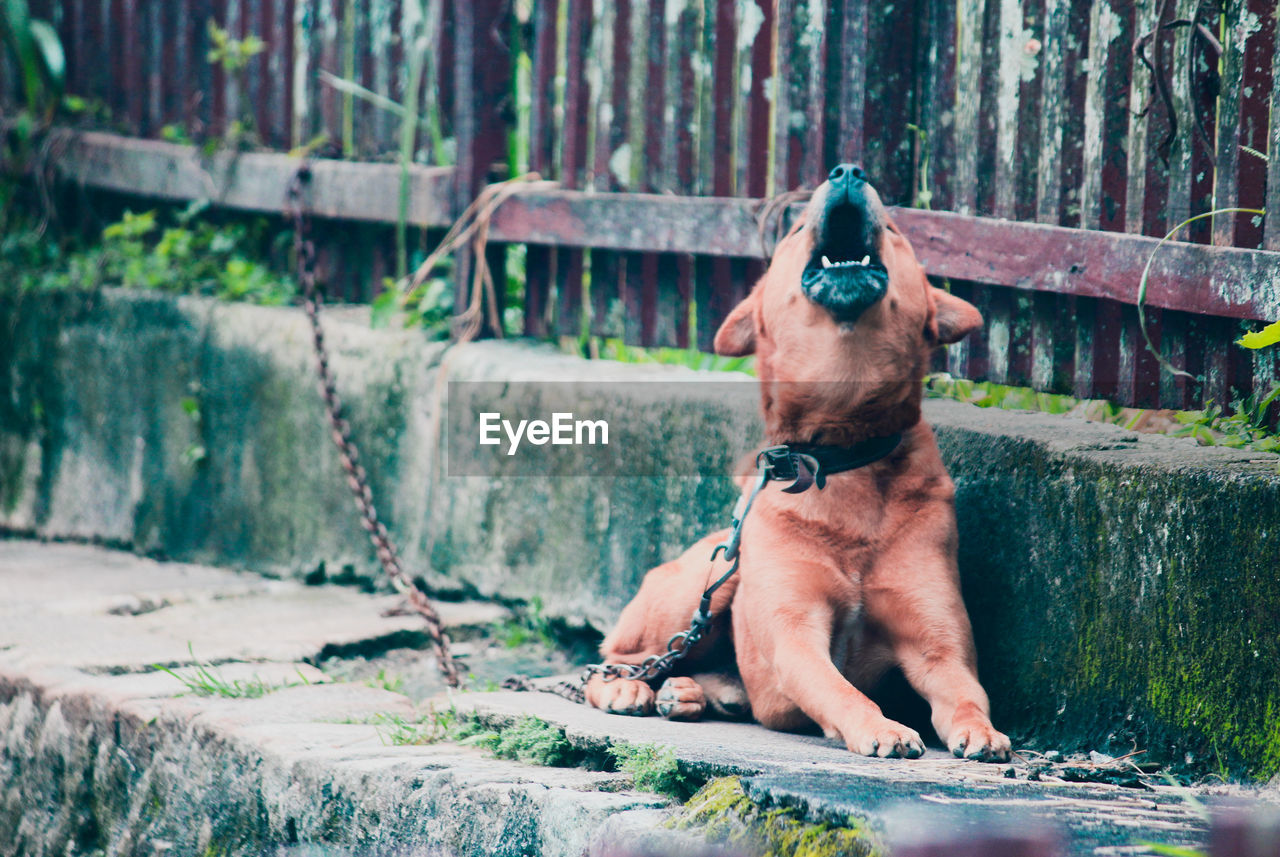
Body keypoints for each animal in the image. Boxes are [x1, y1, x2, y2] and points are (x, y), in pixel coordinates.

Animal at [586, 165, 1013, 762]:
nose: (849, 171)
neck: (842, 455)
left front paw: (982, 731)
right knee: (619, 660)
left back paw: (692, 691)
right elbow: (842, 689)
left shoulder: (939, 647)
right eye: (791, 232)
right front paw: (882, 728)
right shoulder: (796, 636)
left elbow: (968, 693)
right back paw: (630, 688)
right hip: (705, 583)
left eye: (896, 231)